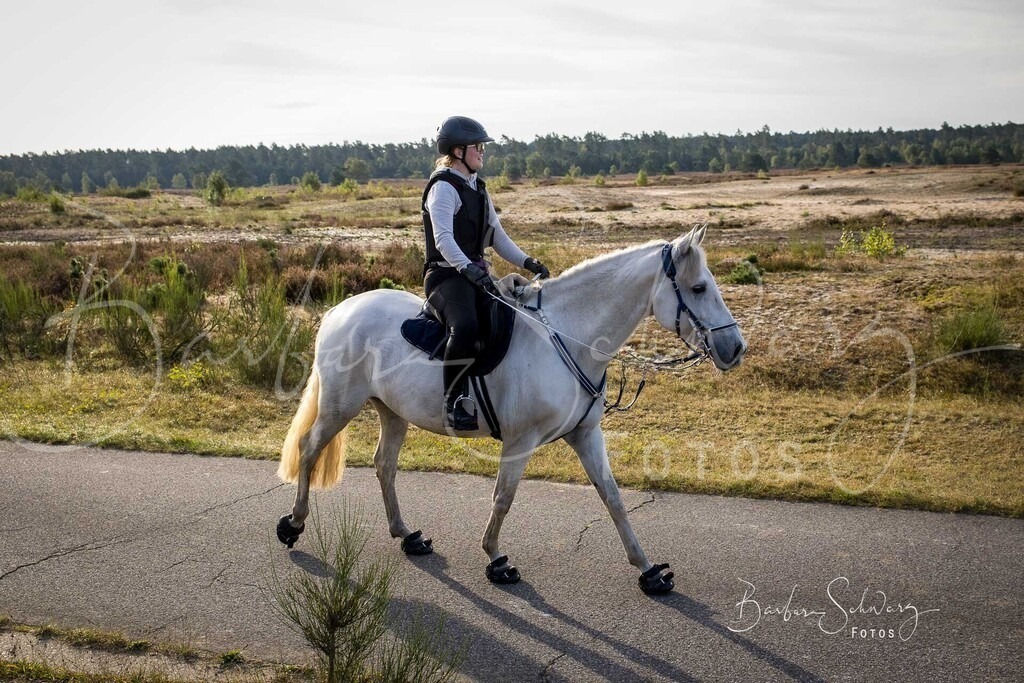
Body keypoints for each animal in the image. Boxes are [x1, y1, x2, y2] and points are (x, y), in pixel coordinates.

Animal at [276, 225, 746, 594]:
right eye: (699, 288)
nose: (735, 348)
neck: (568, 336)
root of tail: (340, 310)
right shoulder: (520, 441)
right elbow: (503, 497)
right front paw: (496, 559)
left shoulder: (585, 435)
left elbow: (612, 497)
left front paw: (648, 571)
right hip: (340, 406)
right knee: (310, 449)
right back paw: (293, 524)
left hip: (392, 412)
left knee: (384, 465)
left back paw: (406, 535)